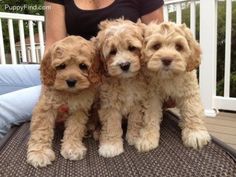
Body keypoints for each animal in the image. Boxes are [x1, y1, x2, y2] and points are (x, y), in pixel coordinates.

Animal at [27, 35, 100, 167]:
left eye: (83, 66)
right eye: (61, 66)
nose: (71, 81)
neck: (68, 94)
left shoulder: (78, 109)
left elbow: (74, 129)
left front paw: (72, 148)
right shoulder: (46, 106)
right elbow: (41, 130)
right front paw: (39, 153)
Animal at [95, 19, 147, 158]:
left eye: (132, 48)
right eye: (112, 52)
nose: (124, 65)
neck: (125, 80)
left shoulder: (138, 100)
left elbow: (135, 119)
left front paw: (134, 136)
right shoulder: (109, 104)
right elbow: (111, 124)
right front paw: (111, 145)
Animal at [136, 21, 212, 152]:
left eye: (179, 47)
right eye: (156, 46)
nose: (167, 59)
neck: (169, 77)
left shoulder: (189, 91)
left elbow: (192, 110)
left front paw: (195, 133)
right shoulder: (151, 96)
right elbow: (150, 116)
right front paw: (147, 137)